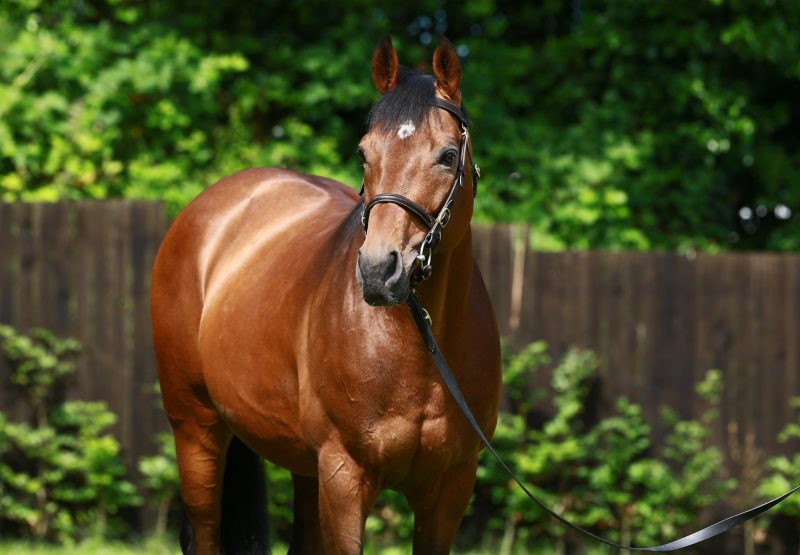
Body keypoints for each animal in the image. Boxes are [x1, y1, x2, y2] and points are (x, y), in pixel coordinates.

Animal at [151, 35, 500, 555]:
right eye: (363, 153)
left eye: (446, 156)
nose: (378, 271)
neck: (420, 348)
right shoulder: (343, 477)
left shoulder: (450, 488)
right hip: (196, 430)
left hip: (301, 464)